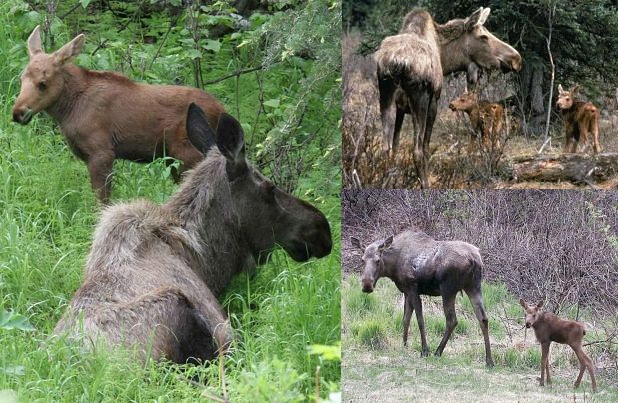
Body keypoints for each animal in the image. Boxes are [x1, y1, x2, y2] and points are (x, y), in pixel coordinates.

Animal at [12, 25, 226, 204]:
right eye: (21, 78)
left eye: (43, 83)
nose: (18, 113)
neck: (68, 111)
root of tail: (222, 110)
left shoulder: (102, 152)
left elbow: (102, 201)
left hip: (187, 153)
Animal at [352, 229, 490, 368]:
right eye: (362, 260)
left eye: (378, 260)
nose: (367, 285)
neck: (393, 266)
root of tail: (474, 259)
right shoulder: (406, 291)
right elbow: (406, 319)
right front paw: (404, 345)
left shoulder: (413, 288)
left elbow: (420, 320)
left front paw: (424, 350)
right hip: (474, 287)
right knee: (483, 319)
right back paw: (489, 360)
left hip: (448, 289)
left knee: (452, 320)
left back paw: (437, 352)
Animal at [372, 7, 524, 188]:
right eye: (483, 36)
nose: (516, 59)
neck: (444, 59)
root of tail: (398, 63)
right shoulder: (434, 102)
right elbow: (425, 148)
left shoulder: (400, 107)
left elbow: (395, 147)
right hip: (419, 99)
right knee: (417, 150)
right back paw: (425, 185)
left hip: (385, 95)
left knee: (385, 148)